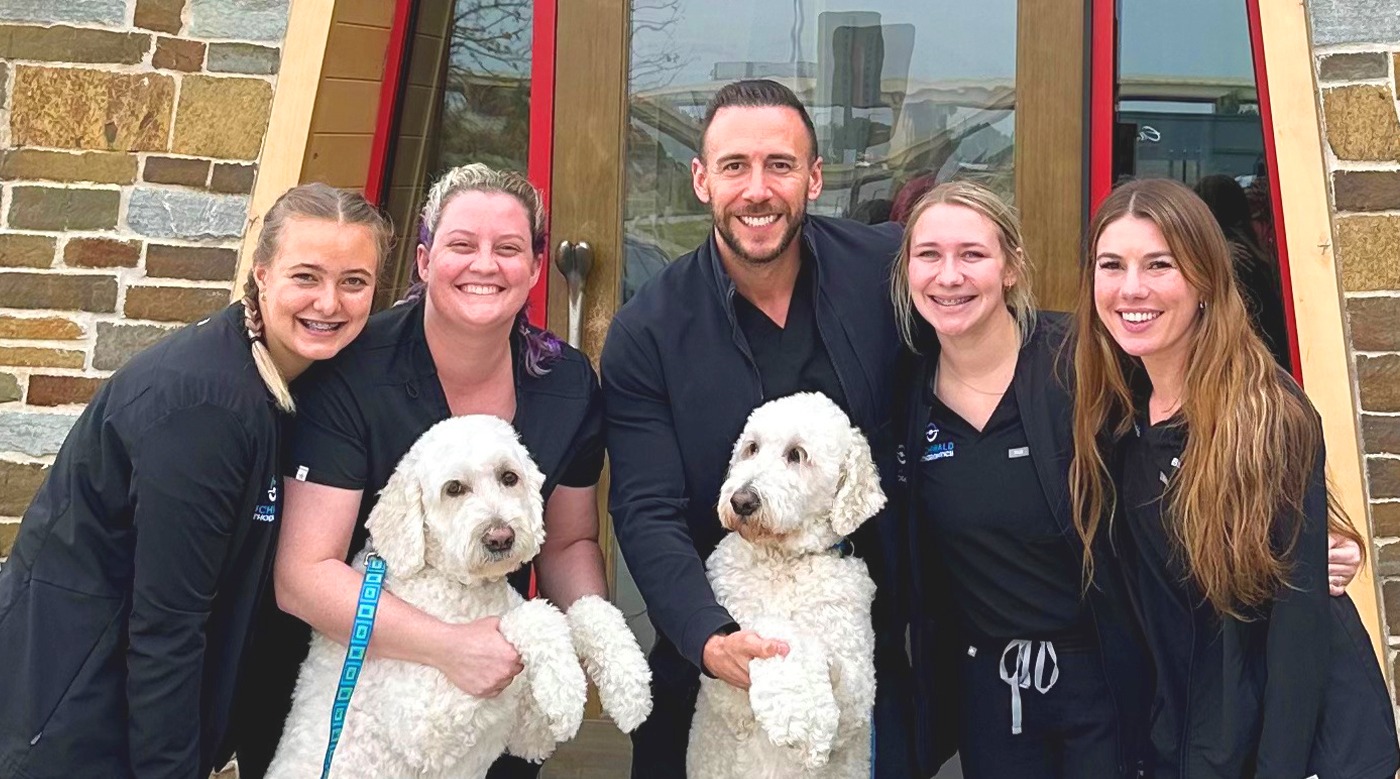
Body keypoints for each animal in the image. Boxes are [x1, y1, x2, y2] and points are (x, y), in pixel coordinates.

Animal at [266, 417, 649, 779]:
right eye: (454, 489)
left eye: (509, 477)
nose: (500, 537)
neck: (456, 584)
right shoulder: (426, 724)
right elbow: (534, 617)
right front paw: (566, 689)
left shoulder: (528, 734)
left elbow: (588, 610)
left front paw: (630, 687)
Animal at [686, 392, 884, 773]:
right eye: (751, 448)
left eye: (797, 454)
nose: (741, 500)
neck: (784, 561)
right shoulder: (722, 684)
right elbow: (779, 629)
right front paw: (799, 717)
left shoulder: (859, 690)